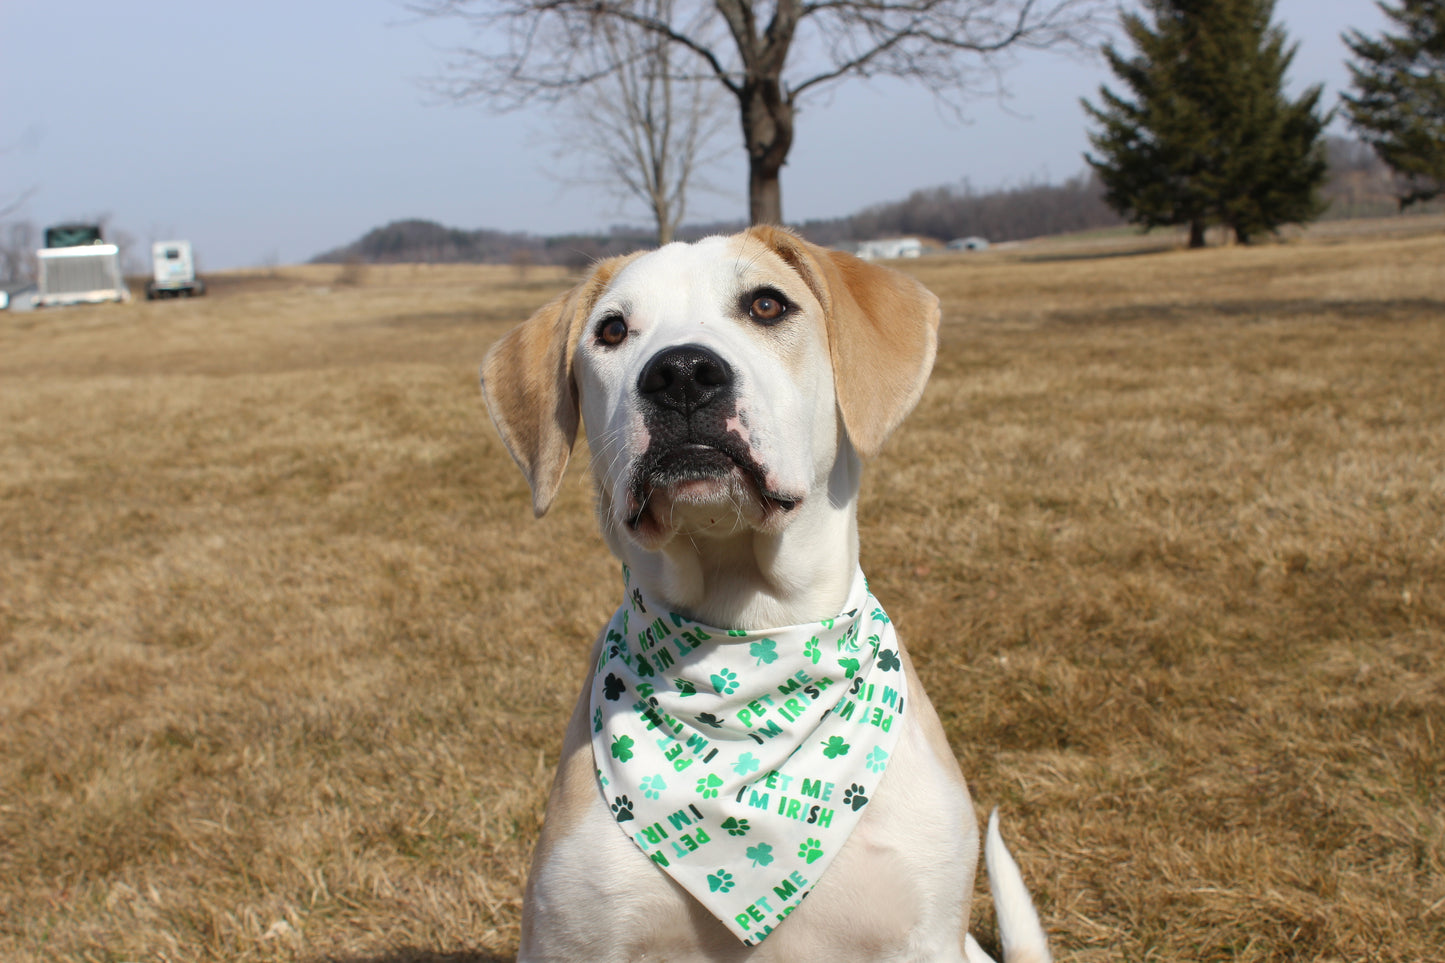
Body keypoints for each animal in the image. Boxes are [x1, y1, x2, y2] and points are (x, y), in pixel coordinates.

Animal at [482, 227, 1051, 960]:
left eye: (767, 305)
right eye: (610, 330)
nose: (681, 372)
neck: (747, 640)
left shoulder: (925, 935)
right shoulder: (571, 936)